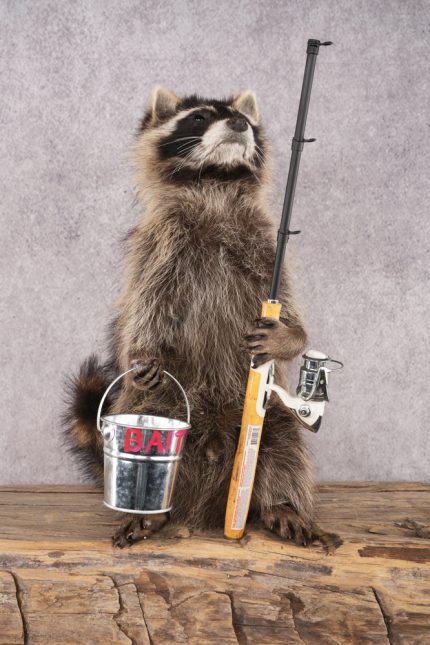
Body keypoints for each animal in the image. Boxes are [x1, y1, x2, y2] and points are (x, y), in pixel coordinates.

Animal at [63, 86, 341, 552]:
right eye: (199, 117)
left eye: (244, 120)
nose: (239, 123)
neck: (215, 184)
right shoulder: (159, 246)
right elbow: (145, 305)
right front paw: (141, 347)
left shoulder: (265, 244)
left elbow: (286, 299)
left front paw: (292, 335)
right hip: (161, 401)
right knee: (149, 407)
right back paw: (151, 514)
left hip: (271, 419)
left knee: (286, 445)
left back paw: (282, 503)